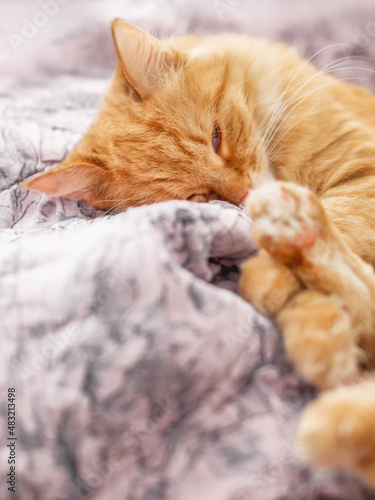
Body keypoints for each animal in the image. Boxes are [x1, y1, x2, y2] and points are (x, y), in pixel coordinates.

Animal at [21, 18, 375, 488]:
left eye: (216, 138)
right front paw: (318, 334)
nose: (244, 195)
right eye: (197, 196)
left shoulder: (361, 171)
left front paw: (278, 272)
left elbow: (341, 219)